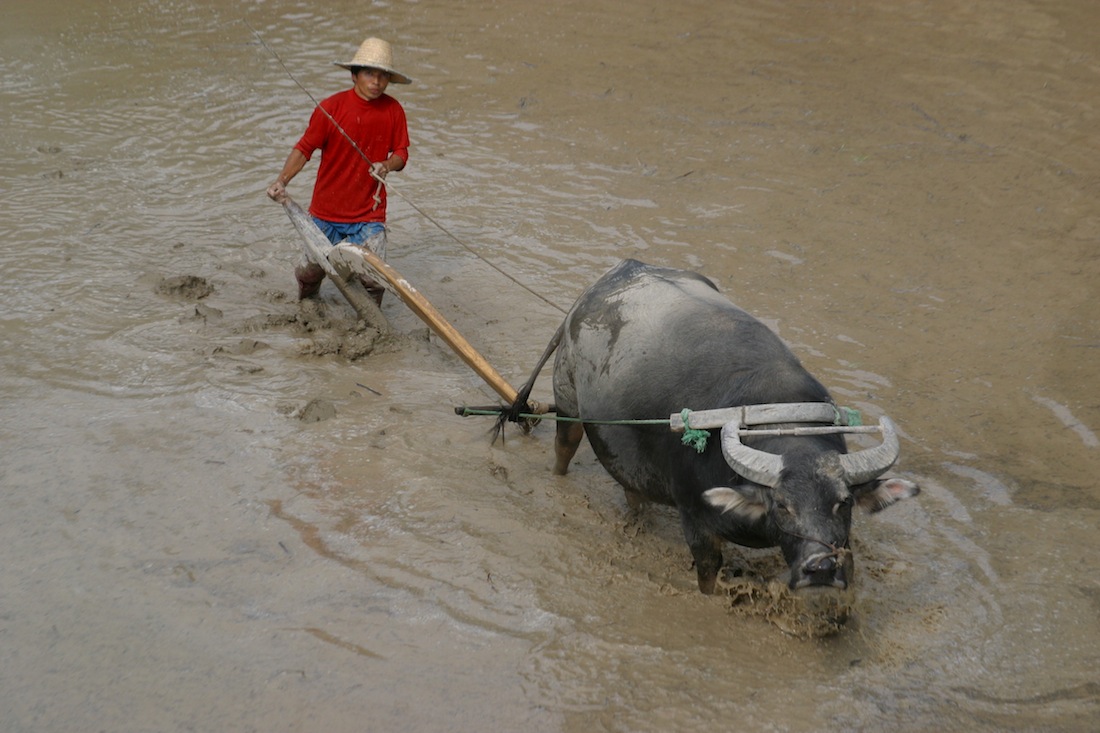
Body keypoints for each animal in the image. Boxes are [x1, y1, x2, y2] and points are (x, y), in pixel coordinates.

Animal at [510, 259, 919, 594]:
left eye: (843, 502)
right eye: (782, 505)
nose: (819, 568)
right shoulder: (697, 524)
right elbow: (709, 574)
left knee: (632, 489)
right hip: (567, 402)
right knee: (564, 448)